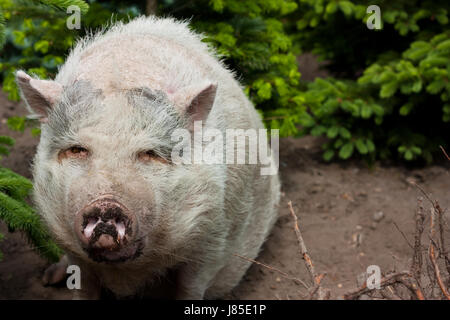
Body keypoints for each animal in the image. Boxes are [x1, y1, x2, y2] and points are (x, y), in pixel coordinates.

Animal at [15, 16, 280, 298]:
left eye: (150, 153)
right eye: (77, 149)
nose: (106, 204)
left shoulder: (213, 237)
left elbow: (190, 287)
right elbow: (84, 287)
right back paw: (49, 278)